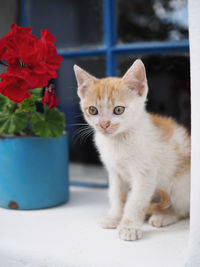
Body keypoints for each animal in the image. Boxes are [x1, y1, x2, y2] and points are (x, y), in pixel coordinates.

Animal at [74, 60, 191, 243]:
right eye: (93, 110)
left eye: (118, 110)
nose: (104, 124)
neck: (118, 141)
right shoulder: (115, 172)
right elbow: (116, 195)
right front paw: (114, 217)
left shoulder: (146, 174)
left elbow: (135, 201)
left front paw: (128, 227)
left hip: (181, 183)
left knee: (183, 210)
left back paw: (164, 216)